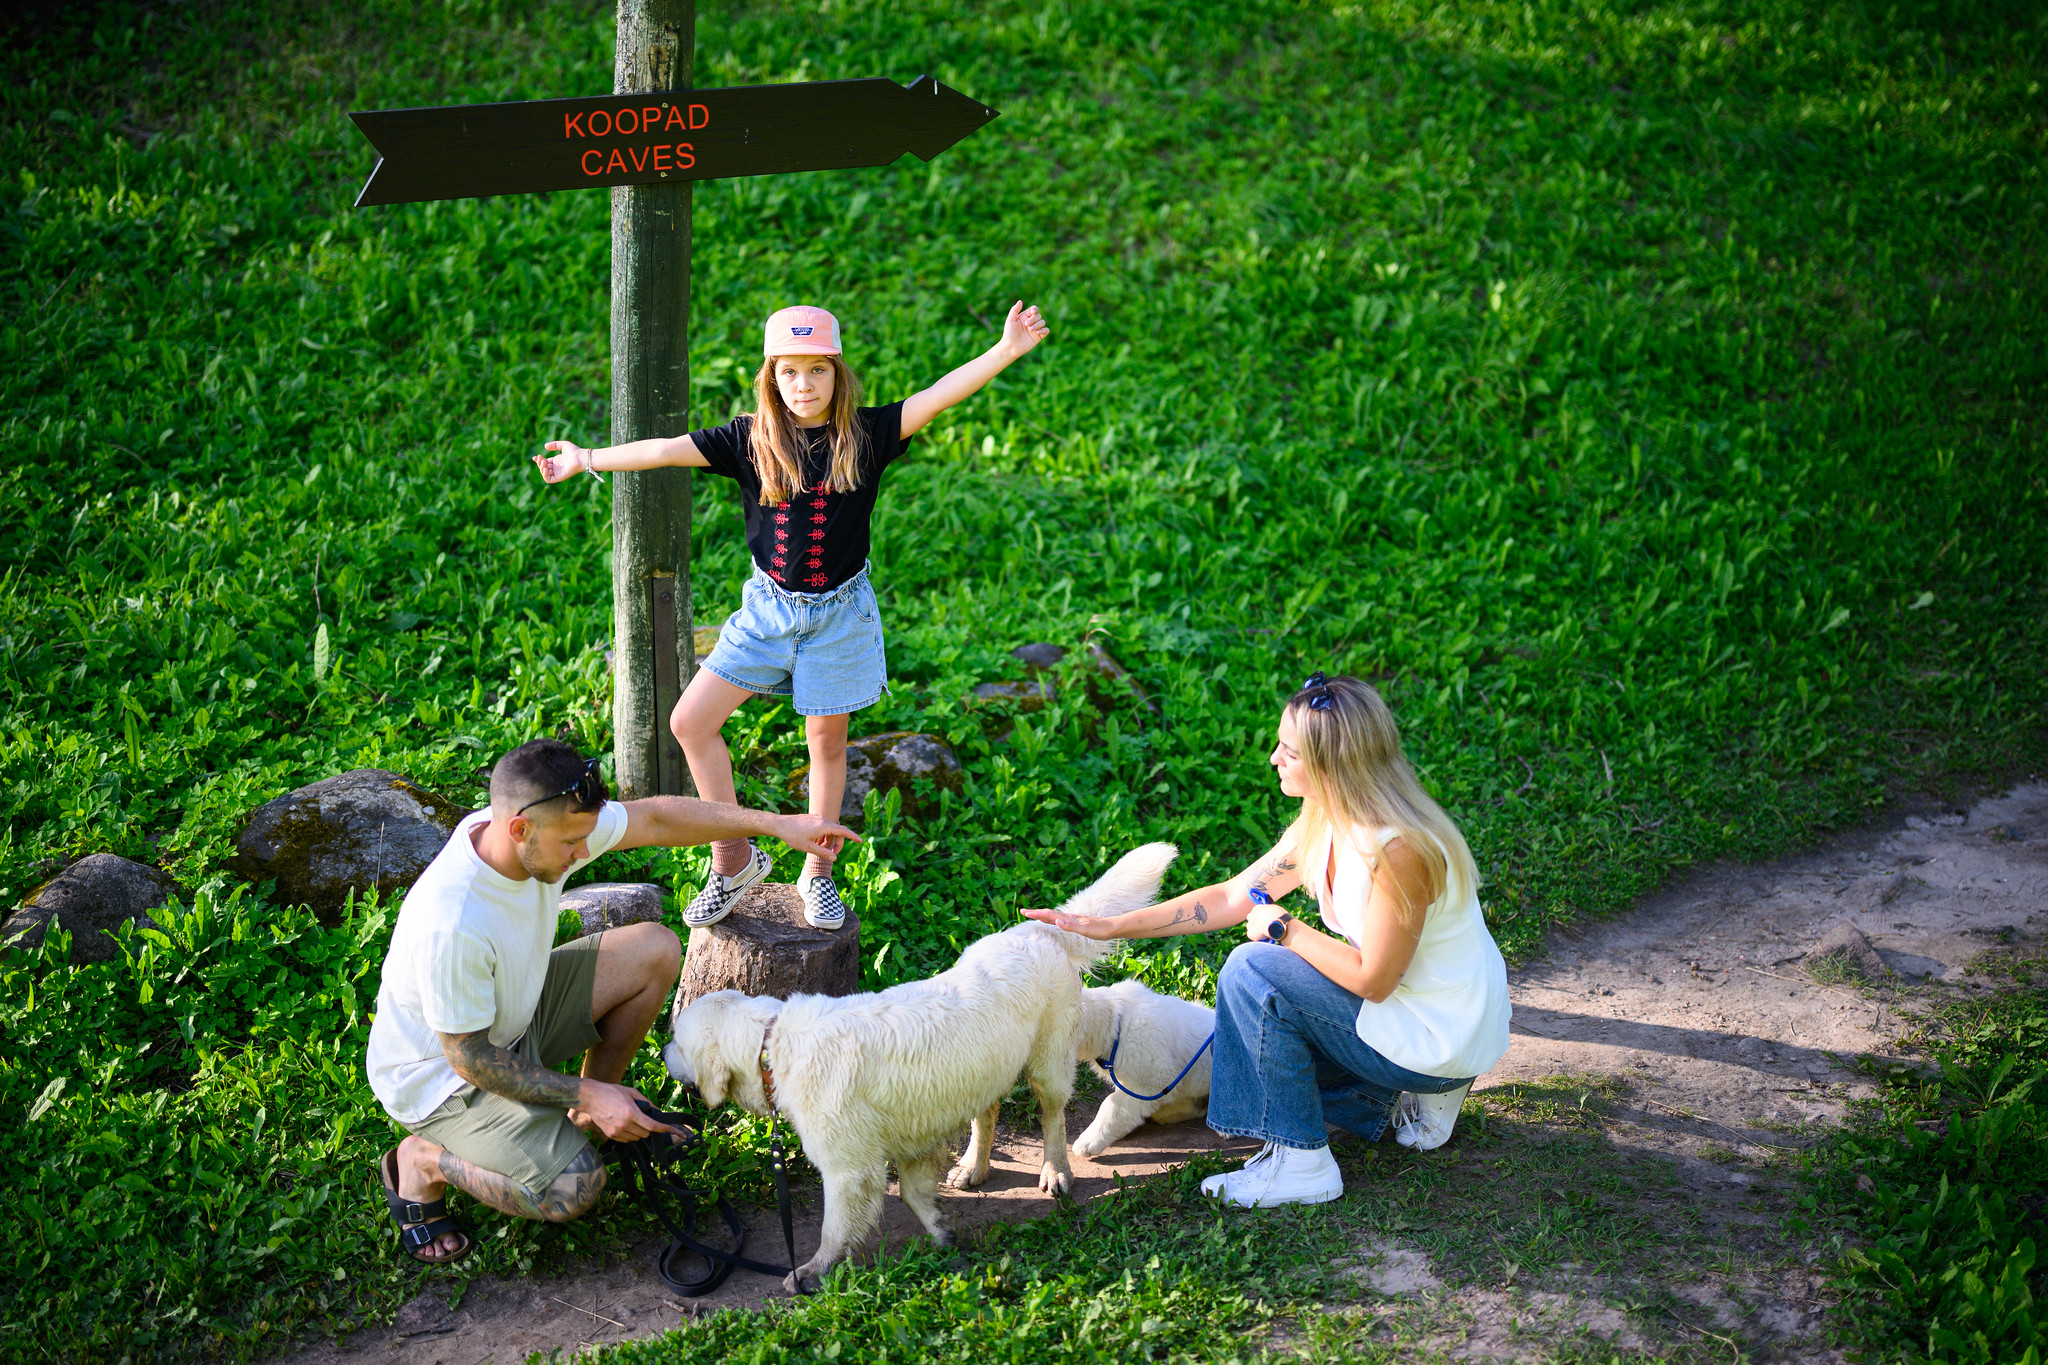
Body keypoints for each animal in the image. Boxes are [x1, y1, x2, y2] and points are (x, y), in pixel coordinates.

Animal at [655, 843, 1171, 1293]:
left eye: (677, 1039)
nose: (661, 1053)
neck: (772, 1042)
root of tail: (1036, 932)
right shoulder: (910, 1139)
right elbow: (911, 1194)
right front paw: (940, 1231)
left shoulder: (848, 1168)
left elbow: (833, 1229)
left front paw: (812, 1271)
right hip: (982, 1069)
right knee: (987, 1114)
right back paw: (972, 1167)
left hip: (1048, 1063)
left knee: (1053, 1116)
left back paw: (1054, 1170)